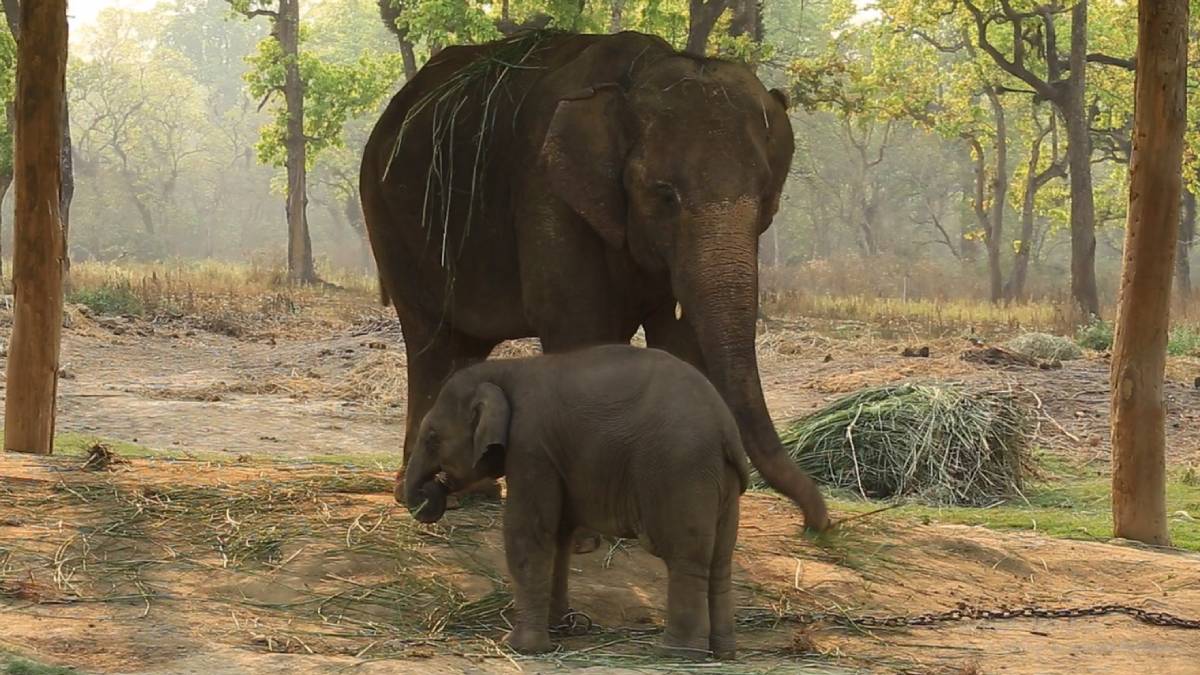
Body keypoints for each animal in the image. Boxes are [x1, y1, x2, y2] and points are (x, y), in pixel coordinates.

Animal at [360, 28, 830, 528]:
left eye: (764, 198)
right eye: (665, 195)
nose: (816, 525)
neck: (637, 74)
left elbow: (682, 341)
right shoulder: (548, 192)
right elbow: (580, 326)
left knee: (466, 345)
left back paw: (472, 492)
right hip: (386, 217)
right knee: (429, 339)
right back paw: (421, 497)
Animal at [398, 343, 744, 653]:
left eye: (432, 439)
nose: (433, 490)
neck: (506, 370)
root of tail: (725, 424)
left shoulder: (531, 447)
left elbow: (527, 532)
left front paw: (519, 647)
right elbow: (559, 537)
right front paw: (560, 629)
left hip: (680, 471)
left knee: (686, 556)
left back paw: (677, 653)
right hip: (720, 480)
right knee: (720, 560)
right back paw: (723, 651)